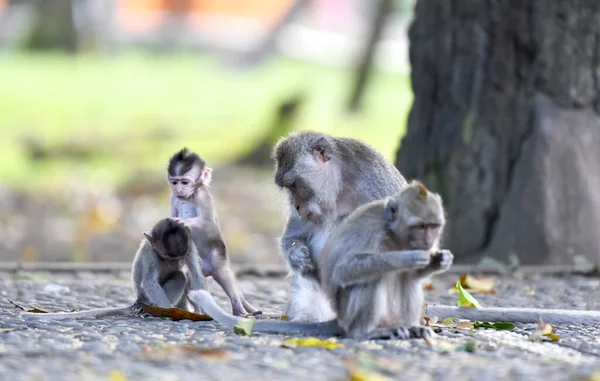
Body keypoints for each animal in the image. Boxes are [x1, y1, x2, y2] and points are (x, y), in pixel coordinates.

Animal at [21, 217, 206, 318]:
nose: (178, 263)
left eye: (182, 256)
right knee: (179, 277)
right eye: (167, 257)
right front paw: (170, 311)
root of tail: (137, 302)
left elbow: (197, 275)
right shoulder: (152, 255)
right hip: (146, 300)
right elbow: (149, 282)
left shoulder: (190, 247)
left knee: (182, 276)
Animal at [166, 147, 258, 316]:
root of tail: (206, 268)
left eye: (185, 182)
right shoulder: (173, 198)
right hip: (199, 265)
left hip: (217, 254)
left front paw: (183, 222)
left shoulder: (203, 195)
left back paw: (238, 306)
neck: (189, 196)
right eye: (174, 182)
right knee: (190, 277)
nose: (179, 189)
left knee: (220, 271)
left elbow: (207, 222)